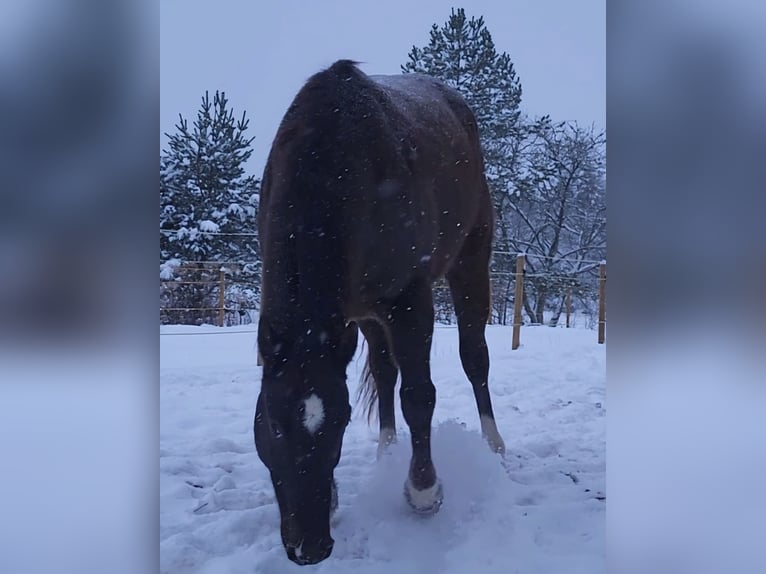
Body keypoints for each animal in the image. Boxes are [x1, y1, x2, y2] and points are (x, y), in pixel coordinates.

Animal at [254, 59, 506, 566]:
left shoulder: (410, 301)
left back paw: (493, 444)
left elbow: (419, 395)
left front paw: (424, 491)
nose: (310, 547)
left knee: (475, 358)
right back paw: (387, 451)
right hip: (366, 316)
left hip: (470, 264)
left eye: (342, 421)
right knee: (386, 371)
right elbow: (391, 380)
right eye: (272, 421)